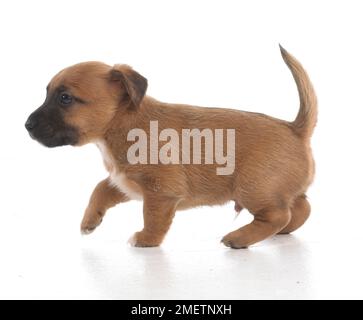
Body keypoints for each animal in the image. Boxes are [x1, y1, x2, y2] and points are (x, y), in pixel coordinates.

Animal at [25, 47, 318, 248]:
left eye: (65, 98)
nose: (26, 125)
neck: (124, 123)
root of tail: (295, 128)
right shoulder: (125, 182)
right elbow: (100, 189)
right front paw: (89, 220)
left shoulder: (160, 192)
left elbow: (152, 217)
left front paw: (145, 240)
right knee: (301, 208)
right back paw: (280, 232)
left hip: (252, 187)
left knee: (278, 214)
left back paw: (239, 237)